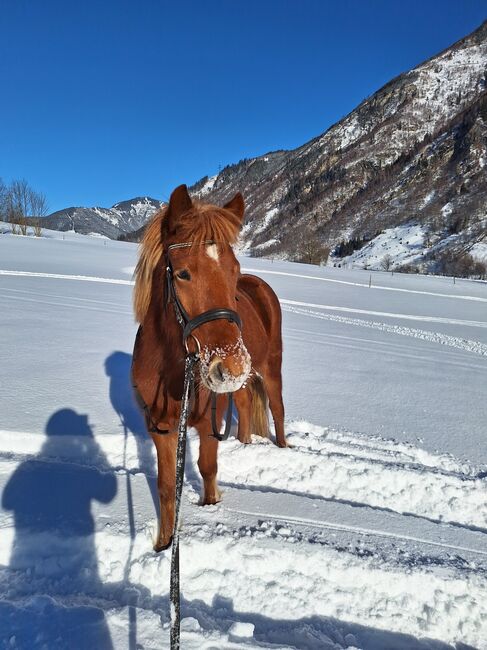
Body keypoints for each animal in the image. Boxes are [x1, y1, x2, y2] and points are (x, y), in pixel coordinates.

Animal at [132, 185, 288, 548]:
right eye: (183, 273)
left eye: (234, 270)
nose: (233, 364)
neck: (172, 367)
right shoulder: (160, 427)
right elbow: (165, 487)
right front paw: (163, 545)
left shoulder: (208, 421)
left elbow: (207, 467)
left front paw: (211, 506)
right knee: (244, 404)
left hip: (271, 369)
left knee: (277, 410)